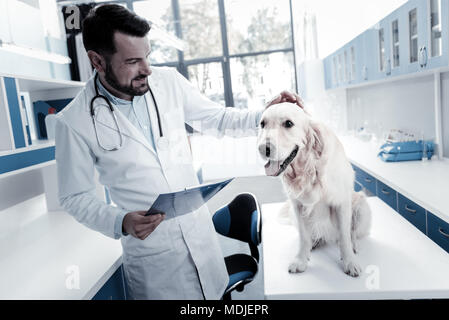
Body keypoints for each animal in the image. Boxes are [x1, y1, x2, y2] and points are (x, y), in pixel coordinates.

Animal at [258, 102, 370, 278]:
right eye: (263, 124)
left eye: (288, 123)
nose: (263, 148)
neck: (308, 169)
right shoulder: (297, 206)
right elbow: (303, 237)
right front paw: (300, 260)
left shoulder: (341, 203)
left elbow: (344, 236)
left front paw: (349, 262)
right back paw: (315, 242)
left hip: (361, 206)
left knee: (351, 232)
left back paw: (352, 246)